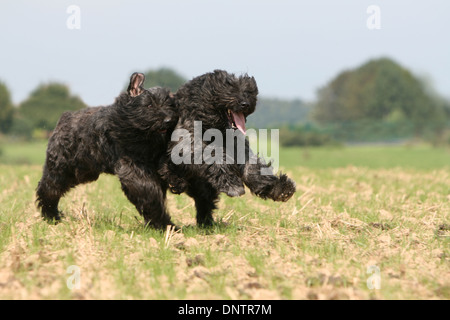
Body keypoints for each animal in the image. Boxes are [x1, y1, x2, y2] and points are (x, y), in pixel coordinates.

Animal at [36, 72, 178, 229]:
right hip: (60, 169)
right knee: (48, 189)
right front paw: (164, 224)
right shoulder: (132, 169)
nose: (168, 119)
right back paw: (51, 215)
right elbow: (148, 192)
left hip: (82, 173)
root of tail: (63, 119)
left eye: (169, 104)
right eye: (149, 104)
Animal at [160, 69, 298, 226]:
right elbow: (213, 156)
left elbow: (251, 165)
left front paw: (278, 187)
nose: (245, 103)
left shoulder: (237, 145)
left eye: (248, 91)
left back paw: (206, 222)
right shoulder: (189, 142)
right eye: (230, 89)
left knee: (204, 200)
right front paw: (232, 184)